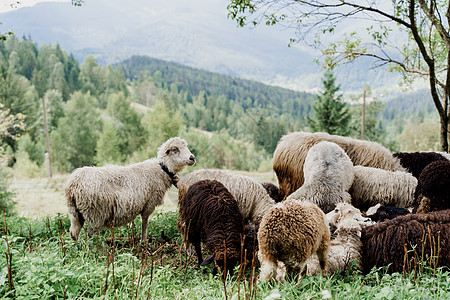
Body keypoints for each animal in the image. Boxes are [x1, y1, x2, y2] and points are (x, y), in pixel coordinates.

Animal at [65, 137, 195, 240]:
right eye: (175, 149)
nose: (192, 158)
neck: (162, 169)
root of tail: (73, 184)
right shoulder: (149, 203)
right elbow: (145, 223)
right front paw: (143, 241)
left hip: (75, 212)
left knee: (73, 233)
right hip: (95, 213)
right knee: (92, 236)